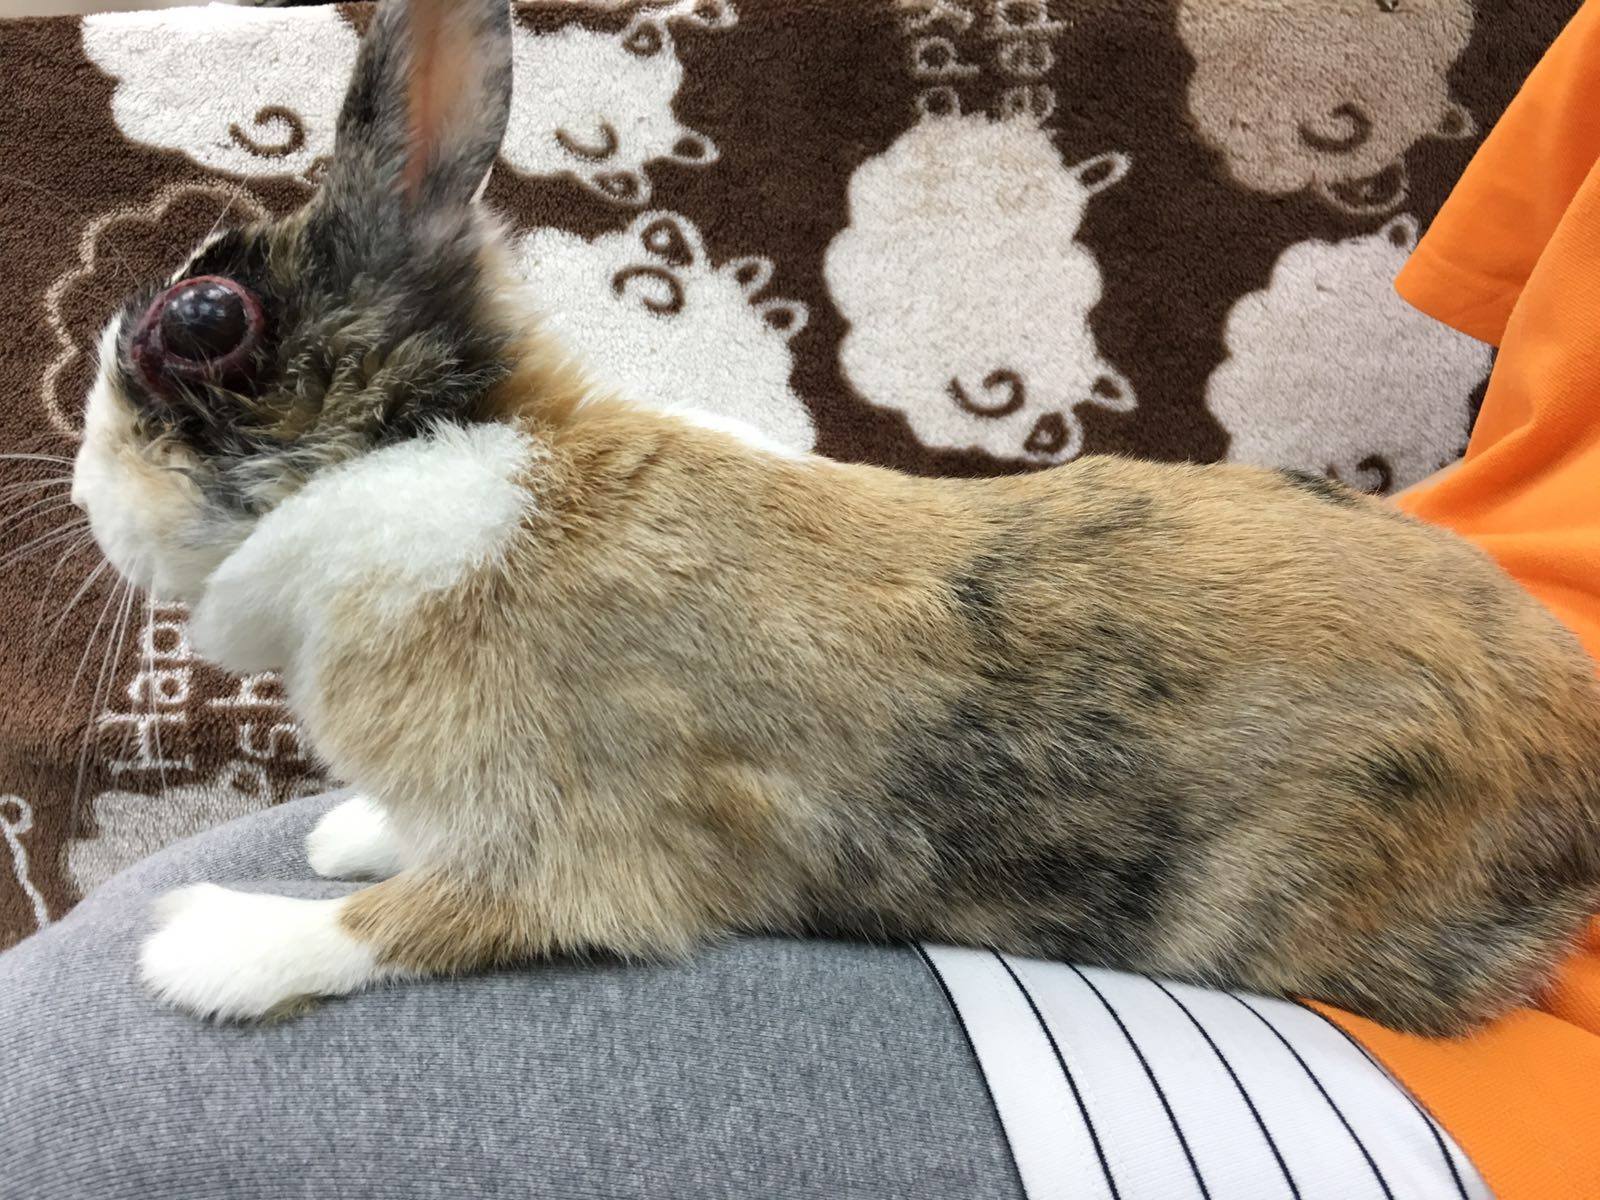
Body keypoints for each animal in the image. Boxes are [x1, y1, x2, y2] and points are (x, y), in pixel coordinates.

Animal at [70, 0, 1600, 1034]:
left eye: (203, 321)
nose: (86, 495)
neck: (447, 464)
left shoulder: (578, 850)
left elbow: (409, 920)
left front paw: (209, 947)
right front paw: (355, 832)